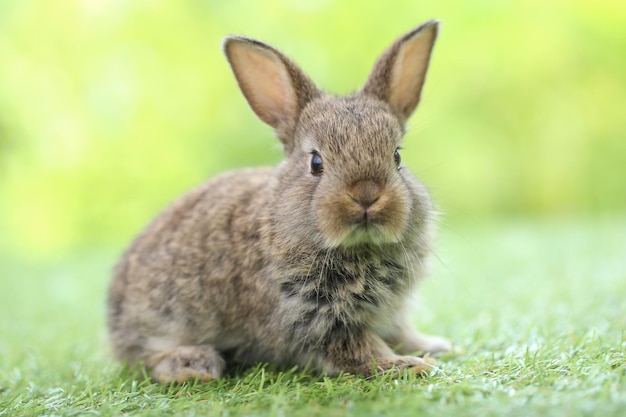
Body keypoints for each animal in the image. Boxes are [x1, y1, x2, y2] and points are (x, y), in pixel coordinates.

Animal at [107, 20, 448, 384]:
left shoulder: (387, 312)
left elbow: (399, 332)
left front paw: (434, 347)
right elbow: (358, 349)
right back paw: (192, 365)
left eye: (397, 156)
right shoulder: (313, 317)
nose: (367, 194)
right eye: (316, 162)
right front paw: (408, 365)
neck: (359, 247)